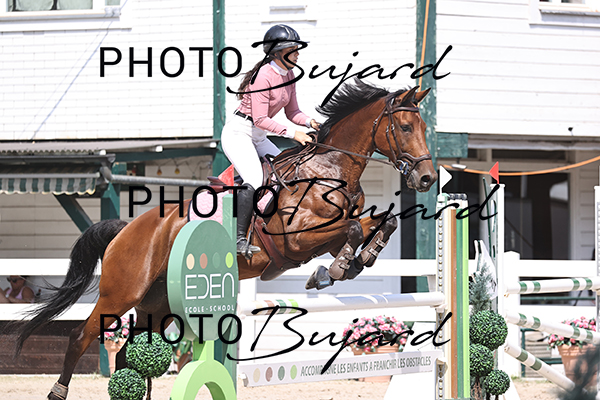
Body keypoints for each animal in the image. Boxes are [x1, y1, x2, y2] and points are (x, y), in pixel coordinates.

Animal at [15, 79, 437, 400]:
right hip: (123, 291)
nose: (428, 178)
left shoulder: (329, 235)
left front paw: (357, 261)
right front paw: (332, 271)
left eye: (423, 128)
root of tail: (127, 229)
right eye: (404, 128)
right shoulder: (297, 239)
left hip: (157, 303)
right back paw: (57, 391)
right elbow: (351, 230)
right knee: (79, 335)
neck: (328, 168)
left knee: (129, 350)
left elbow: (379, 223)